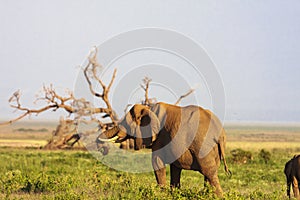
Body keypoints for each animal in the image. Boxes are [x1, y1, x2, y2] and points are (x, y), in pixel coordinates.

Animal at [97, 102, 231, 196]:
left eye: (126, 123)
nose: (101, 150)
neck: (149, 109)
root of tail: (219, 133)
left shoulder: (160, 137)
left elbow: (156, 162)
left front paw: (162, 193)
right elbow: (175, 167)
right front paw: (173, 193)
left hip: (202, 146)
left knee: (209, 172)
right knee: (210, 173)